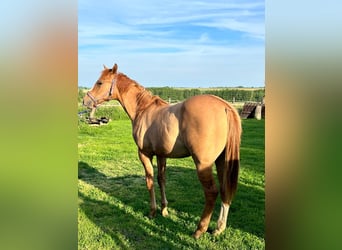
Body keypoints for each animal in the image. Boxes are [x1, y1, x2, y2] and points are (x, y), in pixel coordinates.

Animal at [83, 63, 242, 238]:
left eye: (99, 82)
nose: (85, 101)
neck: (143, 109)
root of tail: (225, 107)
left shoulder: (144, 154)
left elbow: (150, 180)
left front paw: (152, 212)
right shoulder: (161, 155)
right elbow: (161, 179)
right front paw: (164, 210)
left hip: (203, 164)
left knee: (211, 192)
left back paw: (199, 230)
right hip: (222, 161)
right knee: (225, 190)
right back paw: (219, 228)